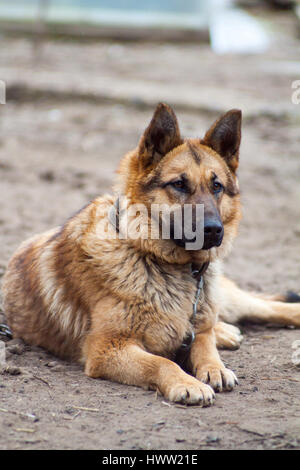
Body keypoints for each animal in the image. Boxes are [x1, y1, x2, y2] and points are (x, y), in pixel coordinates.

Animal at [2, 104, 300, 406]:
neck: (158, 260)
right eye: (179, 184)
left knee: (264, 307)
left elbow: (205, 345)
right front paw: (187, 382)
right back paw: (226, 332)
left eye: (216, 186)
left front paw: (214, 367)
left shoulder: (196, 327)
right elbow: (162, 362)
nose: (215, 230)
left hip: (226, 299)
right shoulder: (107, 348)